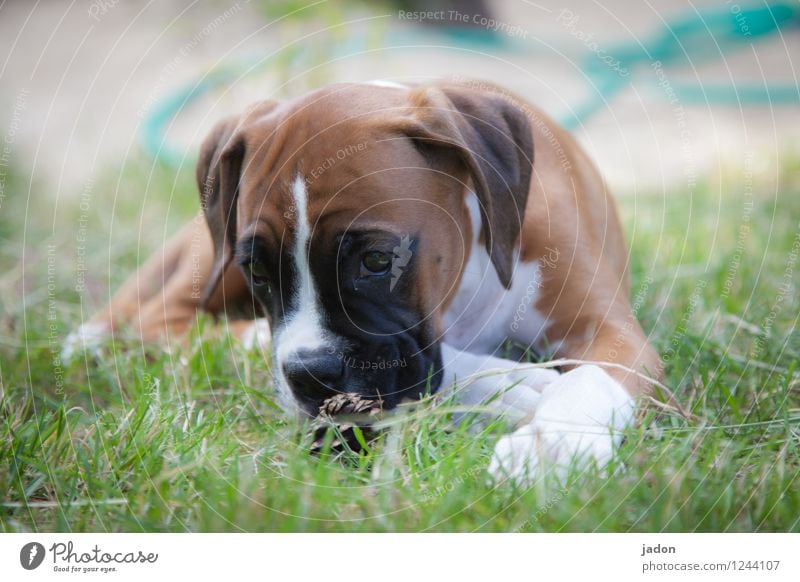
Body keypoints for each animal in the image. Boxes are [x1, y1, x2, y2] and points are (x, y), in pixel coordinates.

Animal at [64, 78, 664, 484]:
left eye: (377, 260)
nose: (309, 374)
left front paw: (551, 448)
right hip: (205, 270)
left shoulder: (608, 330)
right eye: (257, 270)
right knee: (159, 323)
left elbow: (593, 378)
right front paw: (511, 388)